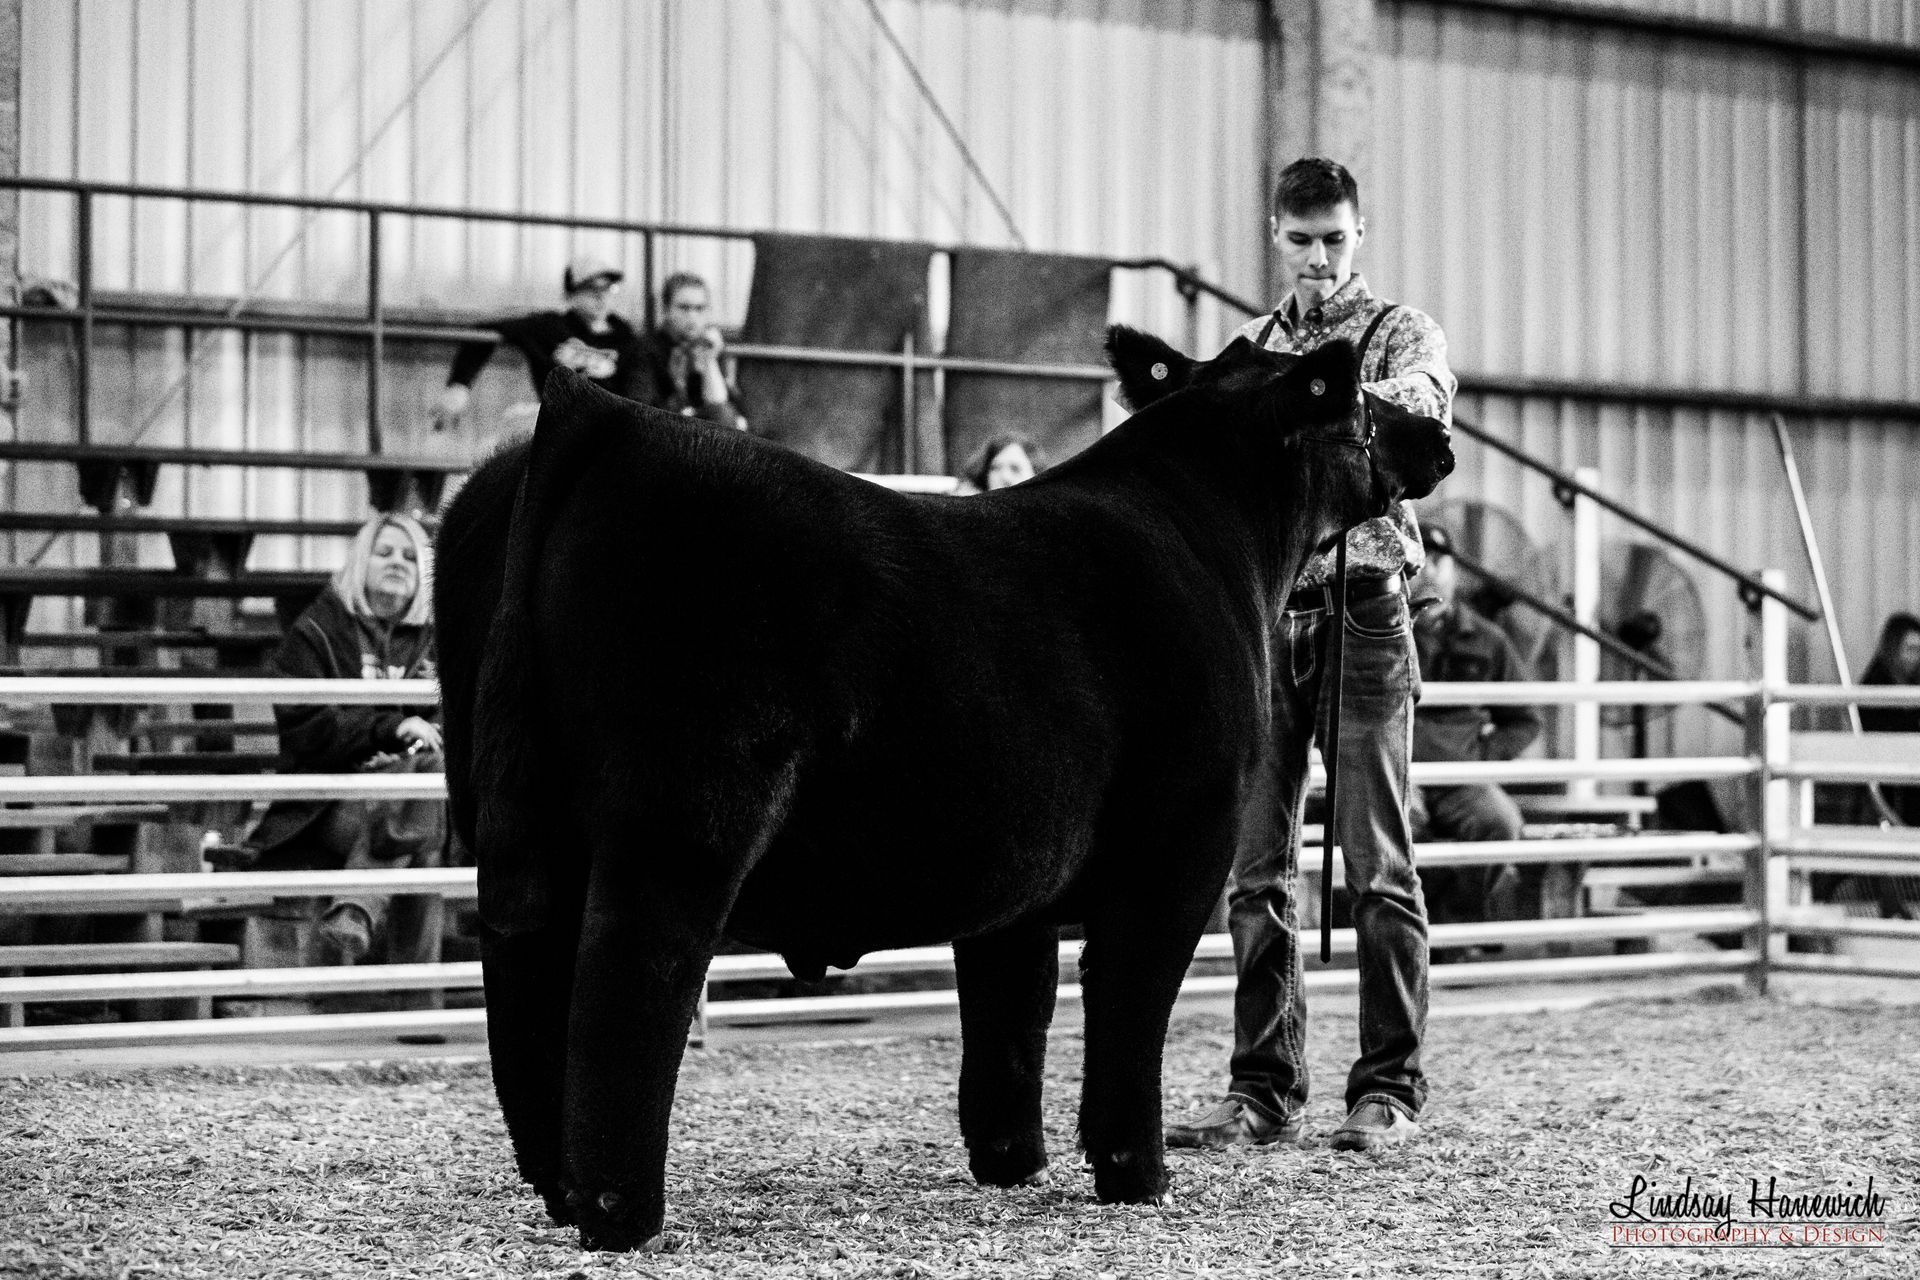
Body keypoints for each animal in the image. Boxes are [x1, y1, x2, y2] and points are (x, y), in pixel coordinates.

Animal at [433, 325, 1454, 1251]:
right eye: (1362, 405)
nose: (1439, 433)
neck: (1218, 540)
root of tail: (598, 419)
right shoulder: (1181, 843)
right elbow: (1130, 1002)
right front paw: (1137, 1174)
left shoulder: (1020, 870)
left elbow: (1011, 1008)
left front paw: (1011, 1162)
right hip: (681, 818)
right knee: (628, 981)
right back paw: (622, 1217)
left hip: (519, 819)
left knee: (523, 976)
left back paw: (560, 1189)